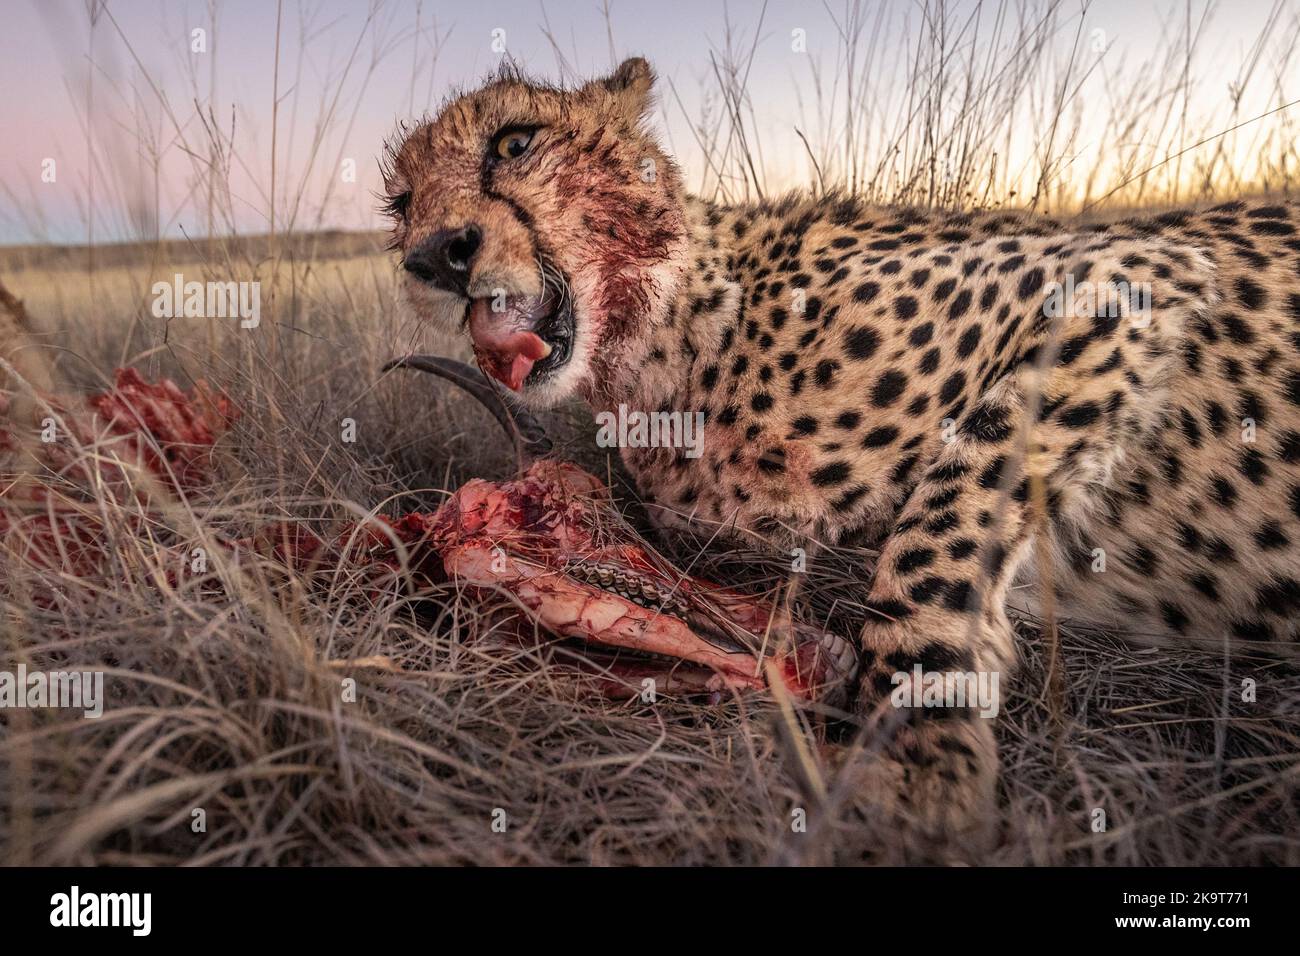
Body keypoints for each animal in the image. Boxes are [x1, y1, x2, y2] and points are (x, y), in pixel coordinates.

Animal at [379, 57, 1300, 837]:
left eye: (513, 142)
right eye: (401, 205)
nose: (434, 258)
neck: (670, 344)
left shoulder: (1129, 266)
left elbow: (936, 518)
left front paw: (919, 752)